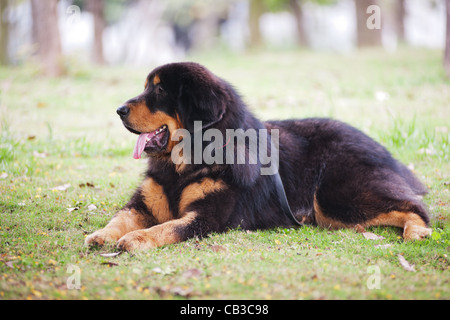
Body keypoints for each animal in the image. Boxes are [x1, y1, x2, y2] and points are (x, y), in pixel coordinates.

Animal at [85, 62, 432, 252]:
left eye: (158, 91)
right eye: (146, 88)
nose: (119, 110)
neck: (185, 163)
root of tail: (378, 146)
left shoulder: (207, 217)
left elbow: (164, 228)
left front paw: (136, 239)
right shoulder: (142, 204)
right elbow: (119, 218)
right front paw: (101, 235)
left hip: (335, 196)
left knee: (415, 206)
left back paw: (418, 231)